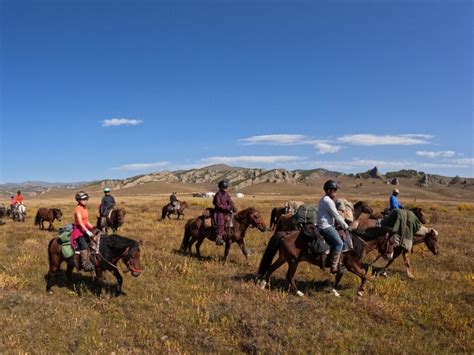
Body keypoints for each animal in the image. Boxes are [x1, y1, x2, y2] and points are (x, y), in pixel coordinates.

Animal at [258, 227, 394, 298]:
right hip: (293, 261)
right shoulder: (351, 265)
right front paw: (360, 291)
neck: (356, 243)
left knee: (270, 268)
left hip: (283, 258)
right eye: (391, 242)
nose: (390, 255)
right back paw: (298, 292)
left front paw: (334, 291)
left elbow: (339, 277)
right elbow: (364, 276)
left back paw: (263, 285)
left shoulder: (342, 266)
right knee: (289, 276)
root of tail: (286, 234)